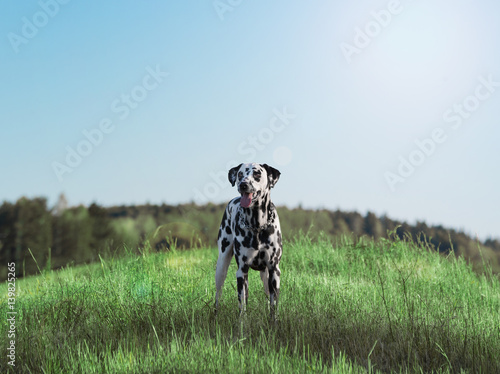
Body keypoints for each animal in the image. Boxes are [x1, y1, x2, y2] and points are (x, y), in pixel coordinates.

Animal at [214, 162, 282, 318]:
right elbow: (242, 304)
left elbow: (273, 305)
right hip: (222, 265)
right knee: (218, 294)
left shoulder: (274, 271)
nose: (243, 184)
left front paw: (273, 322)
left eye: (257, 174)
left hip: (266, 276)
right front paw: (242, 322)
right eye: (240, 174)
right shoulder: (242, 272)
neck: (257, 225)